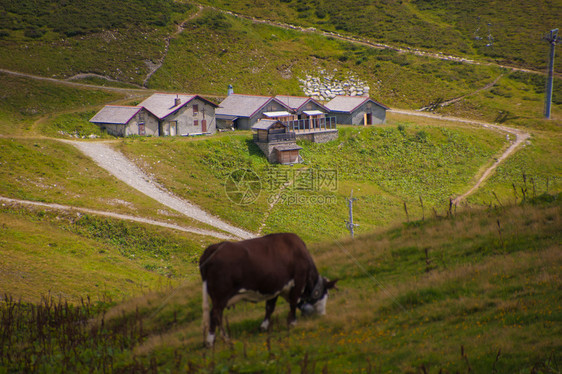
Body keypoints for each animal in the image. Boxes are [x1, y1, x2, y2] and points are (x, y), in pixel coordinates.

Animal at [198, 232, 334, 346]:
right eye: (325, 294)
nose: (323, 315)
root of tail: (214, 247)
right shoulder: (298, 281)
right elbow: (293, 303)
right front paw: (292, 322)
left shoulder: (276, 287)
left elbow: (270, 307)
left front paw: (264, 326)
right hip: (221, 294)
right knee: (215, 314)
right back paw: (216, 340)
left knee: (216, 314)